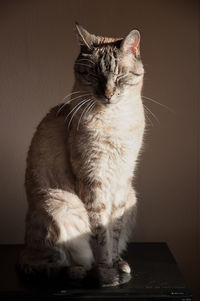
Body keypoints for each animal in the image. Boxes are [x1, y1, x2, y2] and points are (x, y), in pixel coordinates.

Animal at [19, 22, 145, 284]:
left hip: (132, 198)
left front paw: (116, 266)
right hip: (60, 206)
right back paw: (88, 272)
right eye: (94, 75)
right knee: (56, 263)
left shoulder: (122, 182)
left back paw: (120, 266)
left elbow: (114, 233)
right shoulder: (93, 180)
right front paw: (108, 274)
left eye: (119, 76)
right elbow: (102, 237)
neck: (116, 120)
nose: (108, 94)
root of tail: (23, 250)